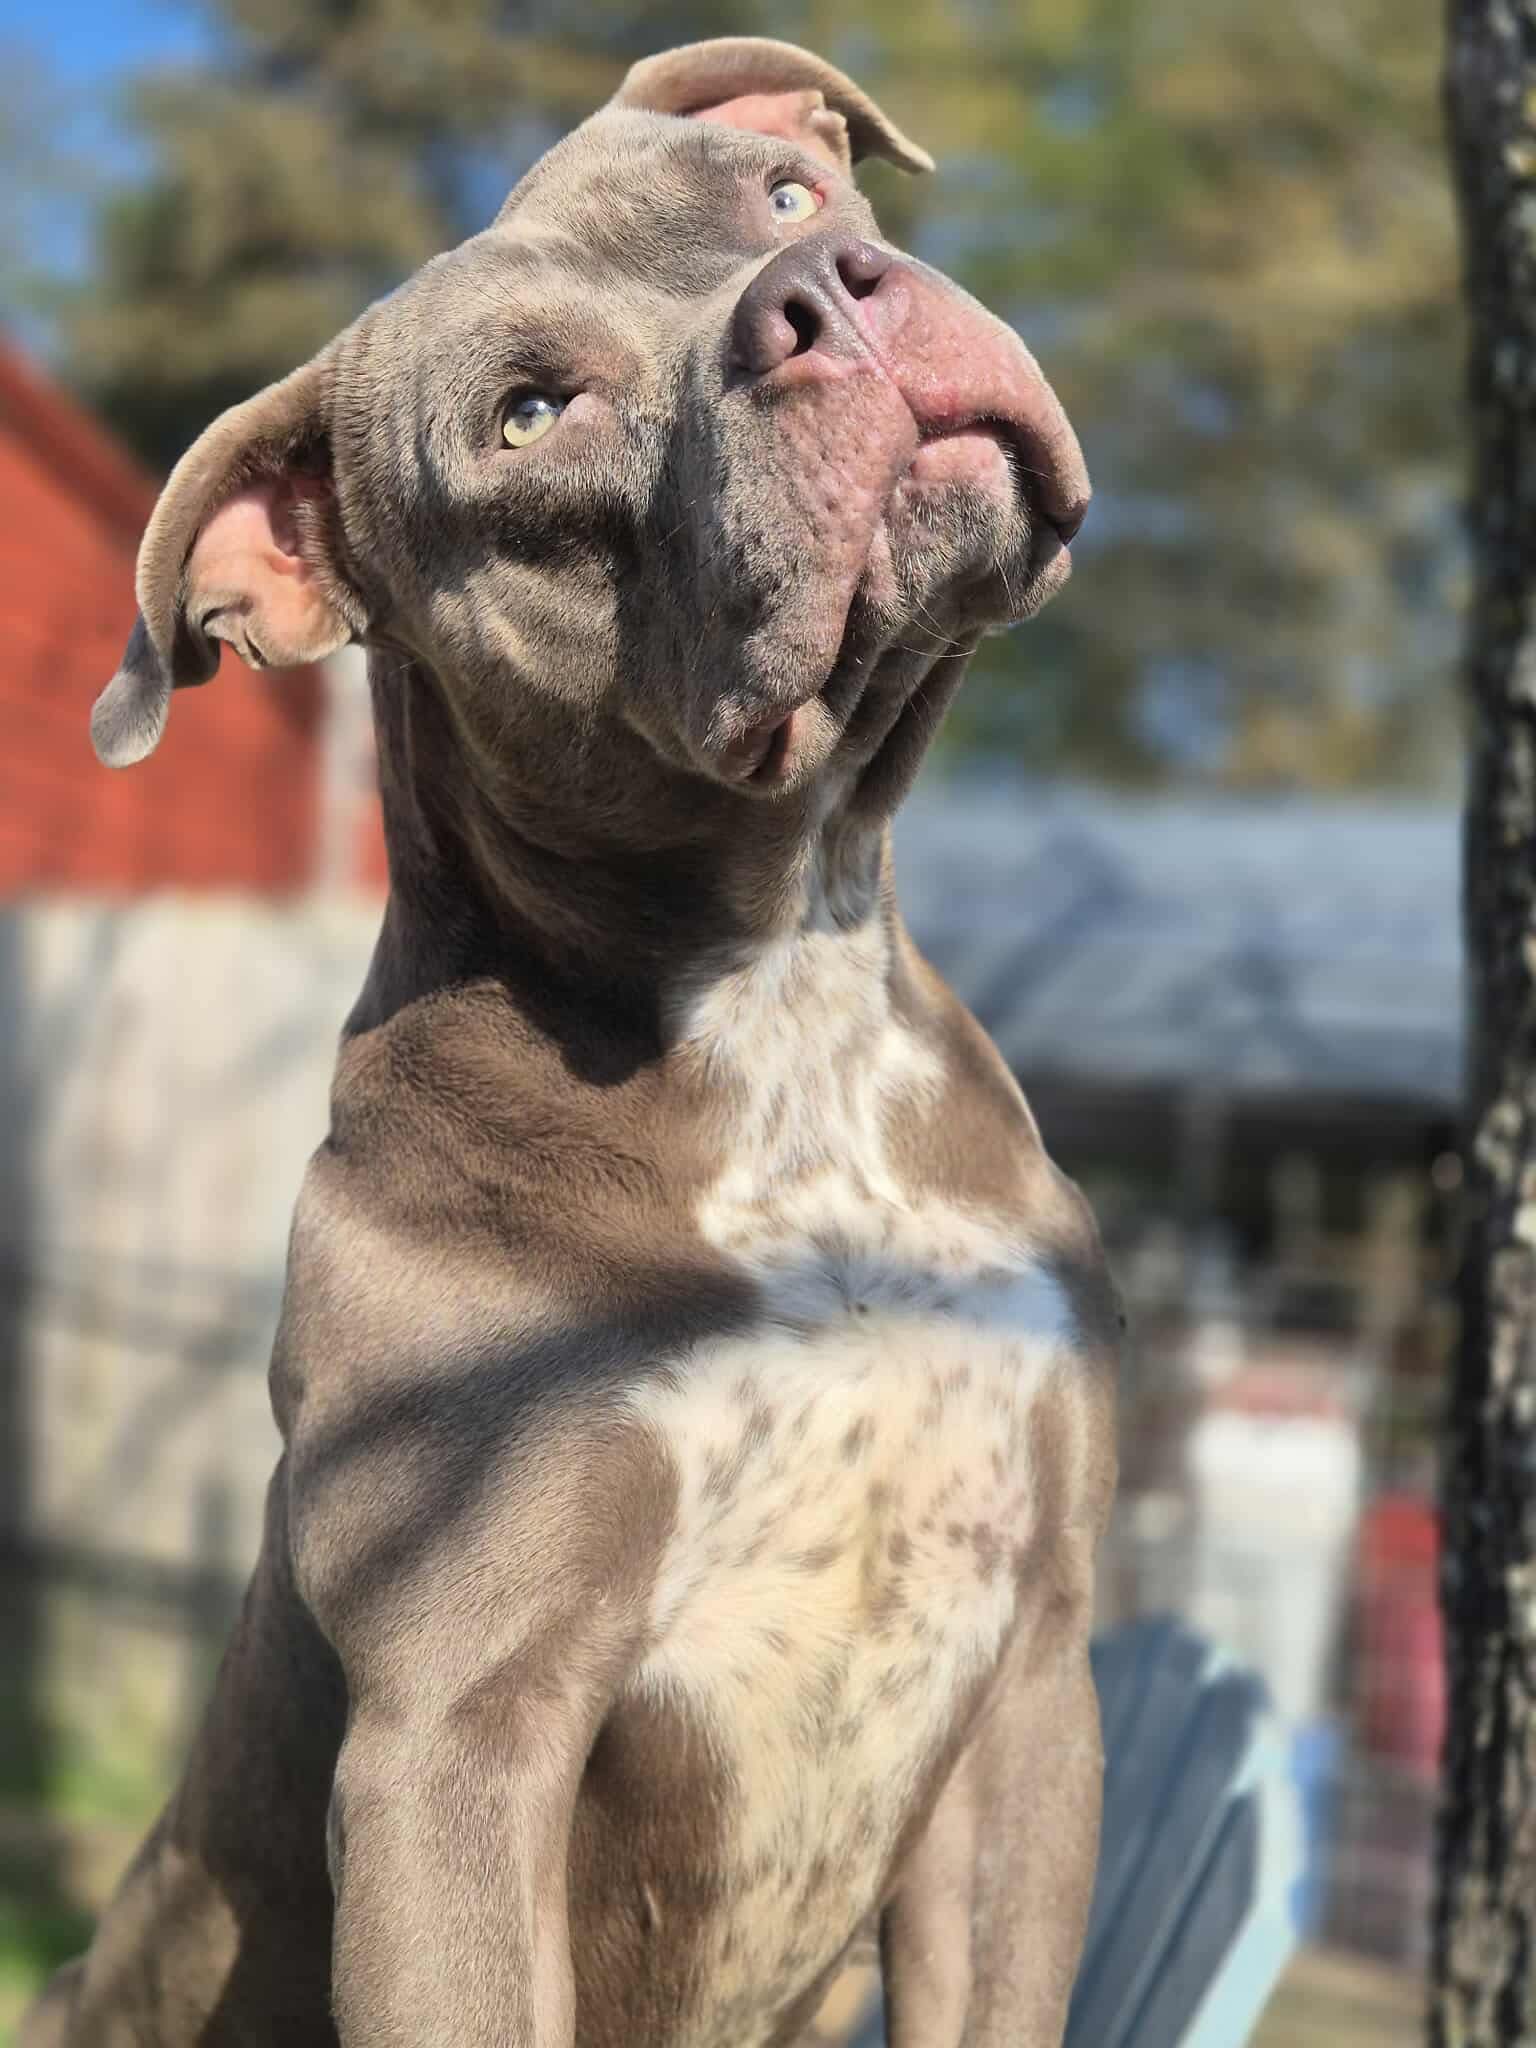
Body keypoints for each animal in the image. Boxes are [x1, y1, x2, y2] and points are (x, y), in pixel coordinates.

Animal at [24, 37, 1119, 2048]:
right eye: (532, 417)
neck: (776, 981)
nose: (823, 293)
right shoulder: (459, 1738)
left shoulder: (1034, 1687)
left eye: (785, 200)